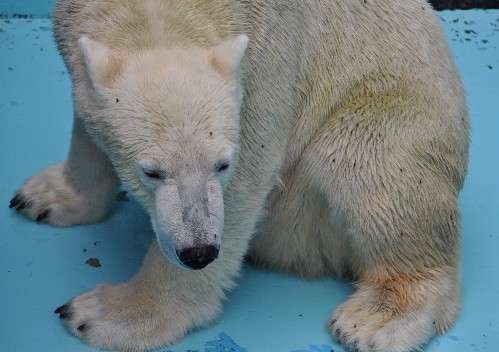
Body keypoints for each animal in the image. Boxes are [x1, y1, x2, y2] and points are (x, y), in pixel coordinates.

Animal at [9, 0, 470, 352]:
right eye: (151, 171)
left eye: (221, 164)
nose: (198, 252)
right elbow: (86, 121)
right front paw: (47, 197)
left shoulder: (271, 56)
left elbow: (249, 177)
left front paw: (108, 313)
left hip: (388, 120)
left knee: (364, 160)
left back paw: (377, 319)